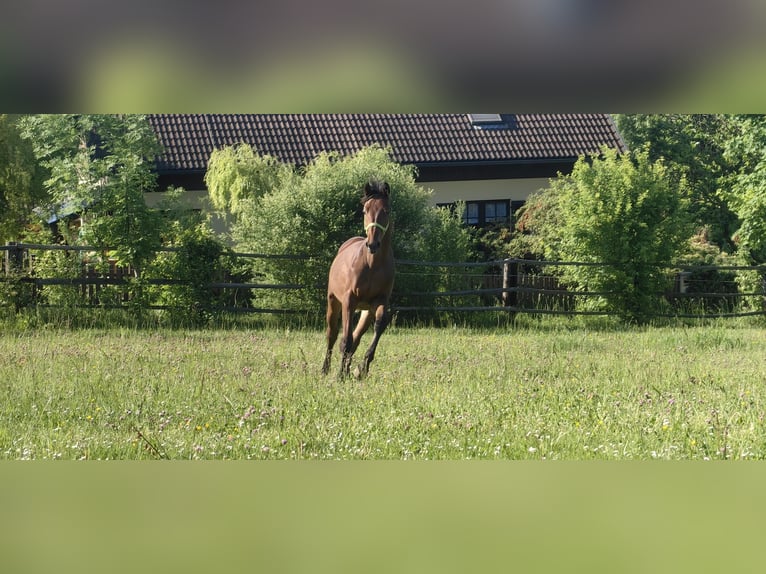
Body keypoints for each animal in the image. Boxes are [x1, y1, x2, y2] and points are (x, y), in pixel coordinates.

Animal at [324, 180, 396, 378]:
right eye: (365, 210)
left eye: (386, 211)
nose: (372, 244)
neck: (372, 265)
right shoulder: (349, 301)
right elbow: (345, 339)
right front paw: (340, 375)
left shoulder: (381, 301)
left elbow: (378, 326)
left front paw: (361, 368)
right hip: (333, 301)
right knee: (332, 335)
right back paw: (325, 369)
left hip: (366, 311)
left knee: (356, 338)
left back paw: (350, 370)